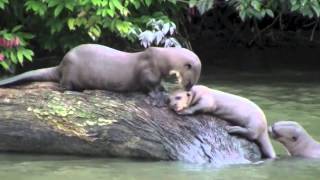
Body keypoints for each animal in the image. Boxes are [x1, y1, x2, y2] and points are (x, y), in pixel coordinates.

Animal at [0, 43, 200, 105]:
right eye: (190, 81)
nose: (188, 89)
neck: (161, 59)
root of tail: (61, 64)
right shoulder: (147, 70)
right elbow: (149, 85)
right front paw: (157, 96)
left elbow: (158, 83)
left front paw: (164, 88)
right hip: (70, 73)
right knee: (63, 86)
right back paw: (76, 91)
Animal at [0, 82, 262, 165]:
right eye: (171, 98)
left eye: (178, 98)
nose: (174, 106)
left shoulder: (205, 100)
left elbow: (198, 108)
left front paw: (186, 111)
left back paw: (233, 128)